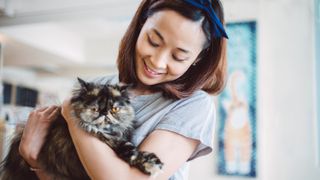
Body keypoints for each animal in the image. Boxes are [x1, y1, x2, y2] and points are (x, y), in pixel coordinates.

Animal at [0, 78, 161, 179]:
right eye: (95, 109)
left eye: (114, 109)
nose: (105, 113)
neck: (107, 133)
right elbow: (130, 151)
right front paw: (151, 165)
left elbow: (131, 149)